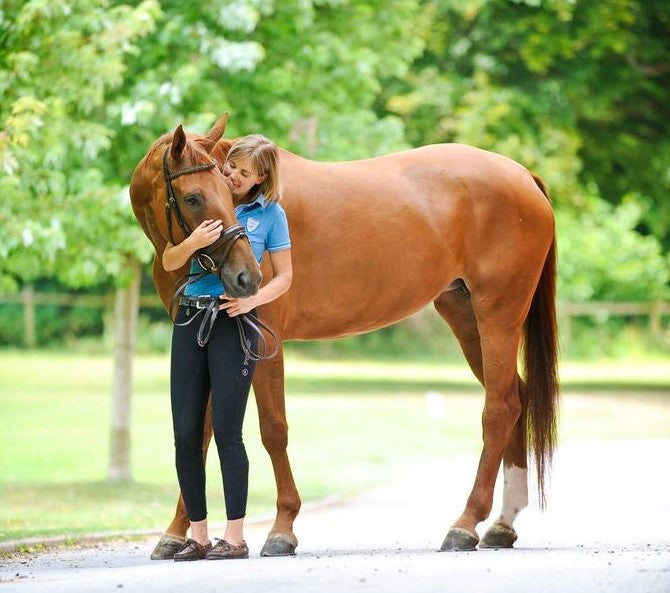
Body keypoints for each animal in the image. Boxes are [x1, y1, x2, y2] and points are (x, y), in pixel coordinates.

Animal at [129, 113, 559, 558]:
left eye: (226, 193)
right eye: (195, 197)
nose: (247, 278)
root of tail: (523, 176)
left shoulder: (263, 341)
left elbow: (272, 430)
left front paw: (282, 528)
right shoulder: (211, 338)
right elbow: (200, 435)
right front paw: (176, 534)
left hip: (498, 316)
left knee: (498, 410)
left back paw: (466, 524)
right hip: (466, 318)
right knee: (514, 398)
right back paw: (502, 525)